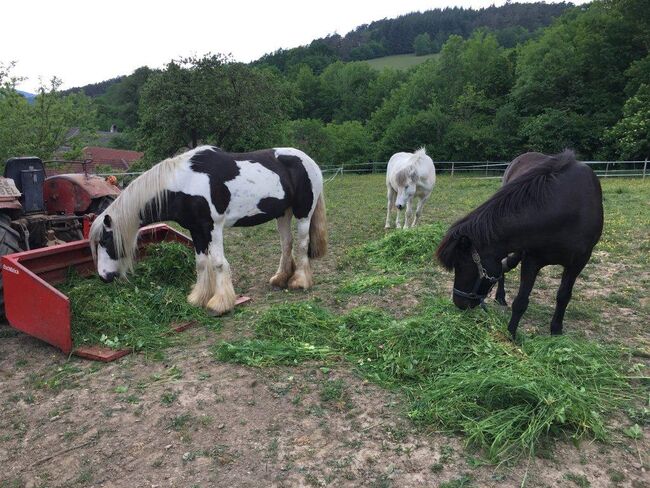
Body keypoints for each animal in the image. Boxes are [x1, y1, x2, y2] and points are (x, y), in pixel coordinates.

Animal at [88, 145, 326, 316]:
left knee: (302, 244)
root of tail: (310, 161)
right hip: (283, 213)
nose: (104, 277)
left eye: (105, 241)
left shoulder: (213, 226)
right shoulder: (196, 230)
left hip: (303, 213)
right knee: (286, 244)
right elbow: (202, 263)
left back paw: (299, 282)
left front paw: (219, 304)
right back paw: (280, 279)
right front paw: (198, 298)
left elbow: (219, 263)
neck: (186, 182)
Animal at [436, 151, 604, 338]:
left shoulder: (578, 262)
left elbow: (563, 296)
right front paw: (511, 335)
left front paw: (556, 330)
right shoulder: (532, 259)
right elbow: (521, 301)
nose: (458, 303)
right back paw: (500, 296)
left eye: (462, 265)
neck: (565, 208)